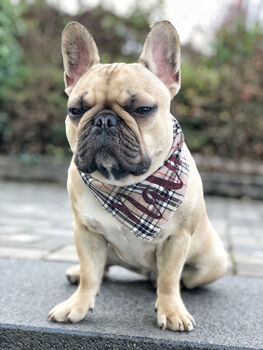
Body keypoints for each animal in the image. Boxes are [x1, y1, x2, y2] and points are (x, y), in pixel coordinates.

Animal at [48, 20, 229, 332]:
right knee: (98, 269)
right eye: (75, 110)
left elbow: (169, 279)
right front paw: (77, 305)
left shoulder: (177, 239)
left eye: (143, 109)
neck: (124, 184)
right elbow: (90, 275)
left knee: (183, 277)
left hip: (215, 261)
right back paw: (77, 272)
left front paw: (171, 310)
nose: (103, 120)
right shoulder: (85, 232)